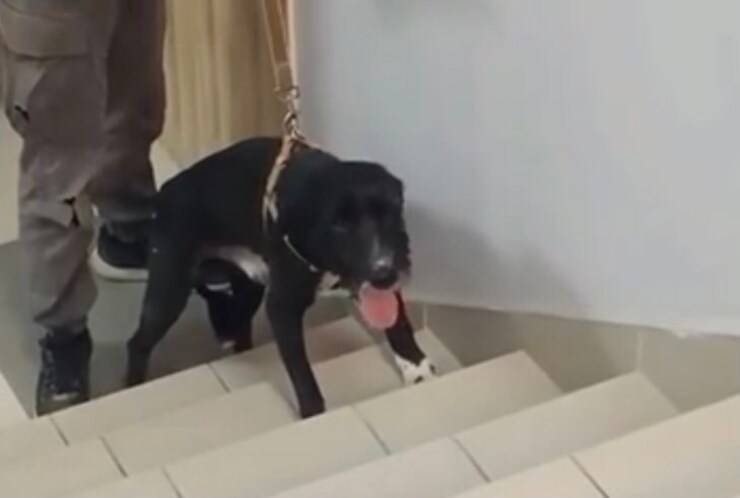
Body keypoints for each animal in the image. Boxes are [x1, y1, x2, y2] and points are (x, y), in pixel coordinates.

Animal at [126, 137, 436, 418]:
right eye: (339, 224)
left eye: (391, 212)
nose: (383, 273)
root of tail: (164, 193)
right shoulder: (282, 308)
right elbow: (300, 371)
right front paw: (313, 413)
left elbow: (398, 324)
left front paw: (416, 366)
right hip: (169, 291)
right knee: (137, 343)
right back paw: (132, 387)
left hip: (245, 292)